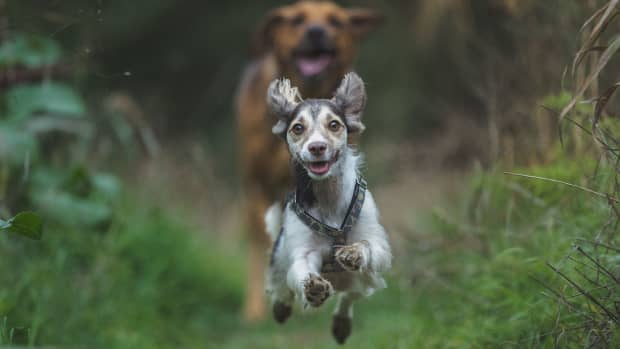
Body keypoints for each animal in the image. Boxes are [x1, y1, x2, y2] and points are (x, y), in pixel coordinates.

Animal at [262, 72, 390, 344]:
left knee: (350, 296)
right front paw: (314, 289)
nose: (317, 147)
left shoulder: (378, 246)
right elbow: (301, 270)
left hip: (363, 279)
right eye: (297, 128)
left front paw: (353, 252)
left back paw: (341, 323)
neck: (329, 198)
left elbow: (368, 246)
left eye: (334, 125)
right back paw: (281, 306)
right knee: (280, 286)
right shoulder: (302, 251)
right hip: (278, 257)